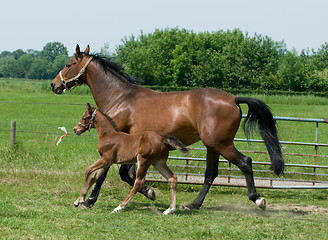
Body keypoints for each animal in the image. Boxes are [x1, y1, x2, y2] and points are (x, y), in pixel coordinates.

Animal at [52, 44, 284, 210]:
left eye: (68, 64)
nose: (54, 85)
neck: (120, 97)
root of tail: (234, 99)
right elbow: (124, 174)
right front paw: (149, 192)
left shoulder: (118, 142)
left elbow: (105, 174)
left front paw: (89, 200)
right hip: (212, 146)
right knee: (211, 173)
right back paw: (193, 205)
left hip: (221, 144)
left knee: (245, 162)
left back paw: (257, 199)